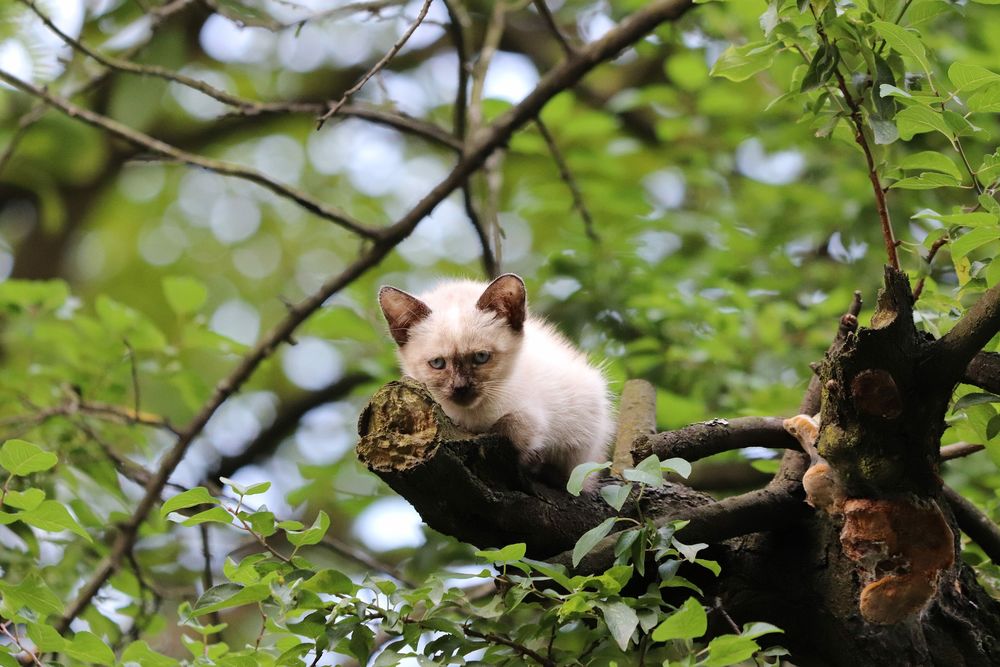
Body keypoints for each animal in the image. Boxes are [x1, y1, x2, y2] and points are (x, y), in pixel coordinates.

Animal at [380, 274, 616, 488]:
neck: (470, 417)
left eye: (481, 357)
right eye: (438, 363)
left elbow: (508, 428)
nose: (460, 388)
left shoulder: (529, 415)